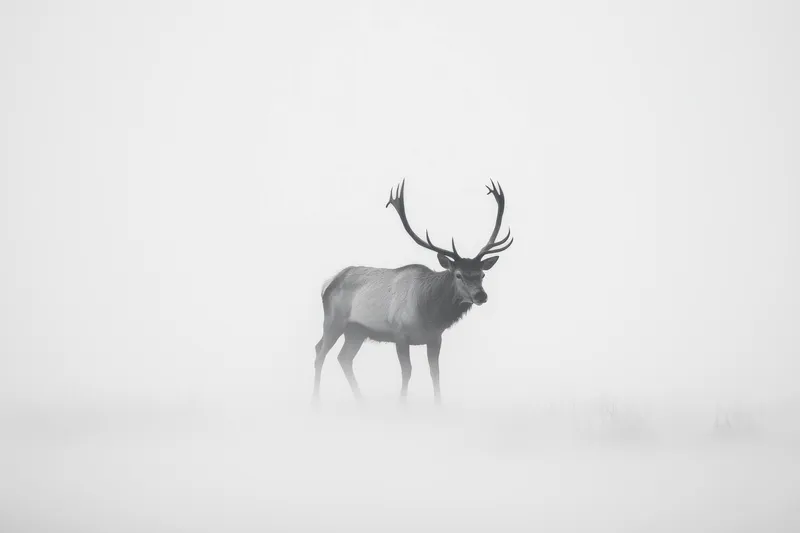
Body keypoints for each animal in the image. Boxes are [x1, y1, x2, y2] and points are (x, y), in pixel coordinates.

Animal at [313, 179, 513, 404]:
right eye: (458, 274)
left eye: (482, 274)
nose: (481, 295)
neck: (430, 313)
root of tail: (328, 283)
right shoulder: (399, 334)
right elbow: (407, 371)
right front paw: (402, 403)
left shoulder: (435, 337)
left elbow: (435, 372)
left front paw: (438, 404)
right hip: (334, 320)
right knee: (320, 351)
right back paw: (316, 400)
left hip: (357, 330)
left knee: (344, 358)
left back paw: (361, 401)